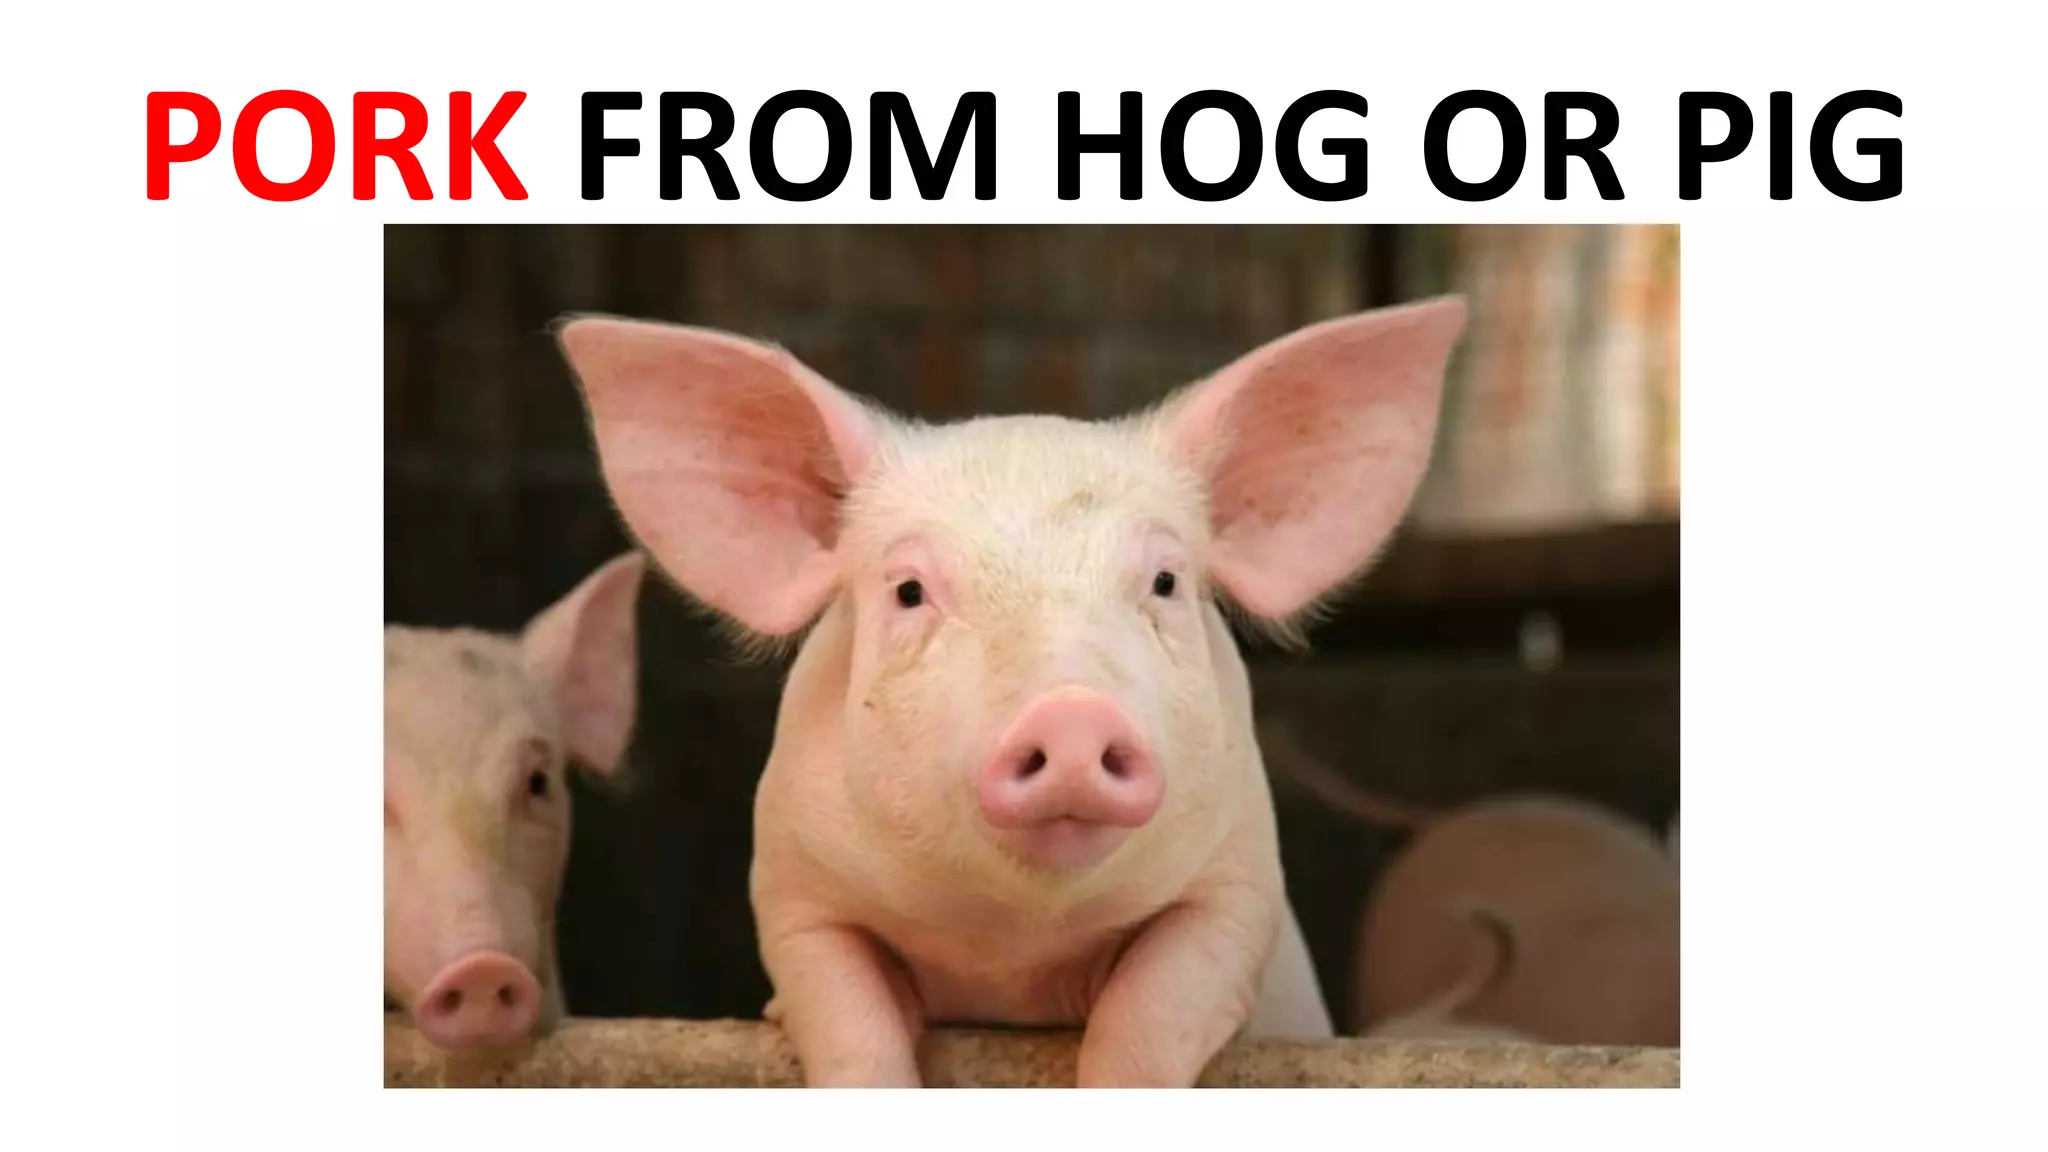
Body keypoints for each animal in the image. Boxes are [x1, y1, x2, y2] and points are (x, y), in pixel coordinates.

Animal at [554, 296, 1469, 1087]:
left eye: (1165, 581)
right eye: (910, 591)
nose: (1071, 714)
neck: (1014, 946)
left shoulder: (1239, 883)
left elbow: (1153, 1013)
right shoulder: (792, 887)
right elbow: (846, 1019)